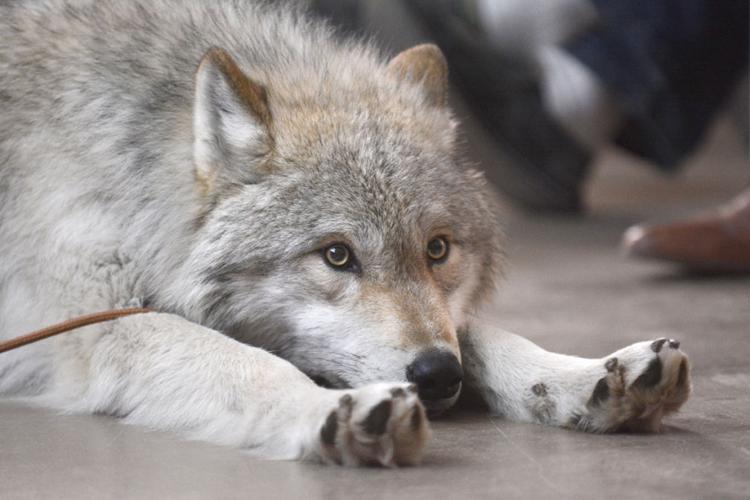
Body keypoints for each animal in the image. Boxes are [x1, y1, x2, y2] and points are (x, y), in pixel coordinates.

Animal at [0, 0, 691, 466]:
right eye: (336, 256)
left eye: (438, 249)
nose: (437, 377)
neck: (133, 164)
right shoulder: (99, 320)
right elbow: (252, 365)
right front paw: (329, 412)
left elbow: (487, 337)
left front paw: (585, 375)